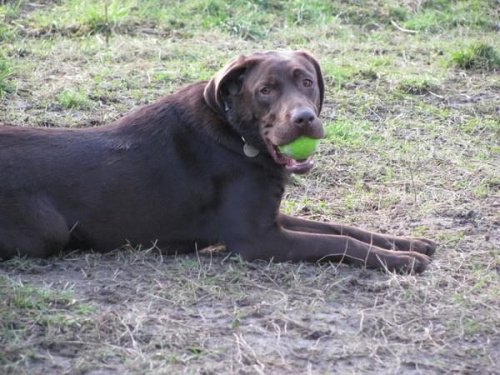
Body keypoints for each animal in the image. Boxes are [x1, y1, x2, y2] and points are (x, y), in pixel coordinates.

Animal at [0, 50, 436, 274]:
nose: (304, 119)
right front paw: (404, 261)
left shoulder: (271, 217)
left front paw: (411, 243)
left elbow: (343, 227)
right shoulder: (259, 239)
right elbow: (340, 242)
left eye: (307, 82)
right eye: (265, 91)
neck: (237, 135)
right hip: (48, 233)